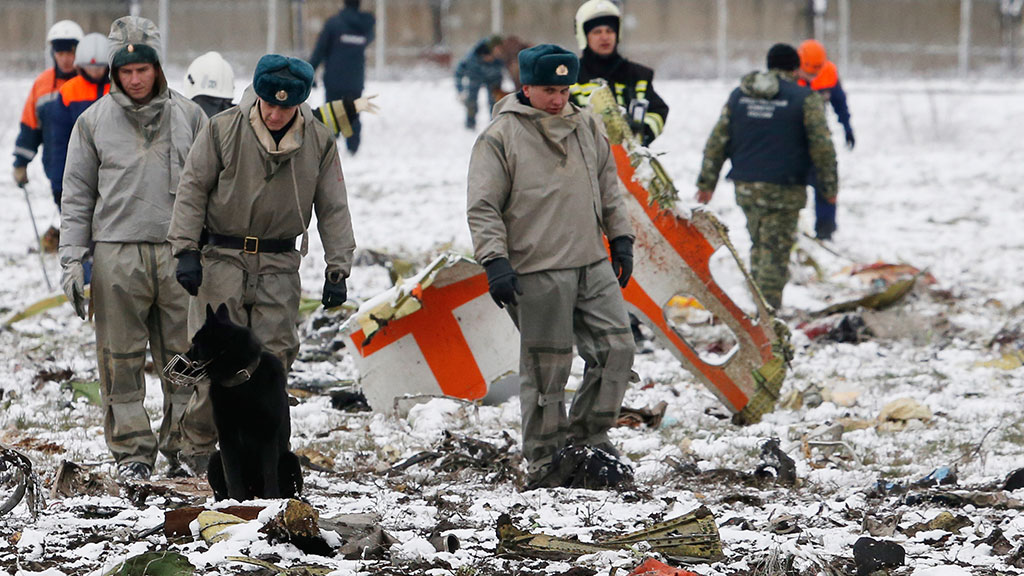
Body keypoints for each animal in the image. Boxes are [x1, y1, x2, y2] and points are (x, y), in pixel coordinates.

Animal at [186, 303, 301, 500]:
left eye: (195, 342)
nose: (182, 361)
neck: (240, 381)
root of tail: (254, 492)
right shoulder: (226, 437)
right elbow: (232, 476)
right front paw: (235, 502)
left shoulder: (267, 434)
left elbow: (270, 473)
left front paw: (271, 500)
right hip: (214, 460)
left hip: (291, 460)